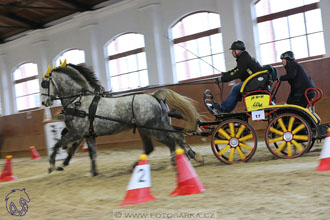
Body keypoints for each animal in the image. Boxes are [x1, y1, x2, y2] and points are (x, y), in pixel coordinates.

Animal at [40, 63, 202, 175]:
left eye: (44, 83)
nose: (43, 102)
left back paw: (173, 163)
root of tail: (155, 96)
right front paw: (93, 173)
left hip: (152, 128)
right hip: (154, 127)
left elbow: (57, 144)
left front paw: (52, 165)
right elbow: (91, 153)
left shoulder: (76, 133)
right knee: (171, 139)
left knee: (170, 140)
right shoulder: (88, 135)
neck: (78, 101)